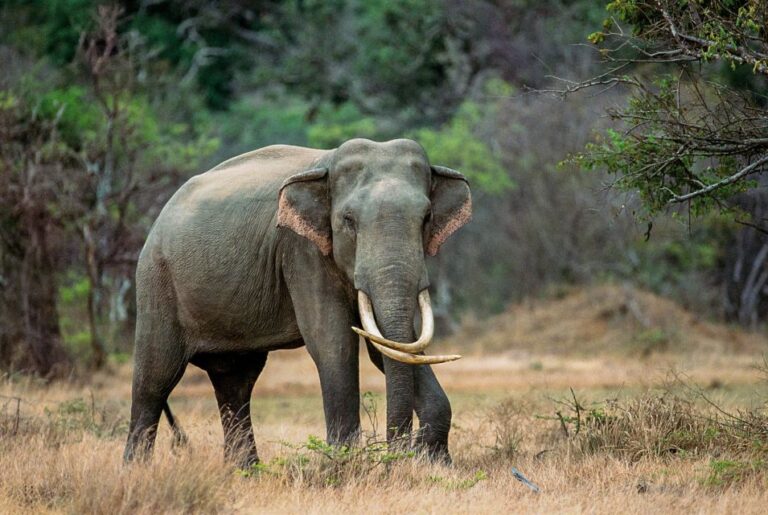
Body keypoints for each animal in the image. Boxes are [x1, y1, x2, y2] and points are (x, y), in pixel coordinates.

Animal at [123, 138, 472, 468]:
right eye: (348, 220)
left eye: (426, 218)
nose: (396, 456)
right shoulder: (301, 250)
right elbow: (333, 341)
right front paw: (344, 466)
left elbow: (389, 344)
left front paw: (436, 464)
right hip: (156, 281)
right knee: (155, 379)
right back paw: (137, 470)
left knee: (235, 382)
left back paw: (246, 472)